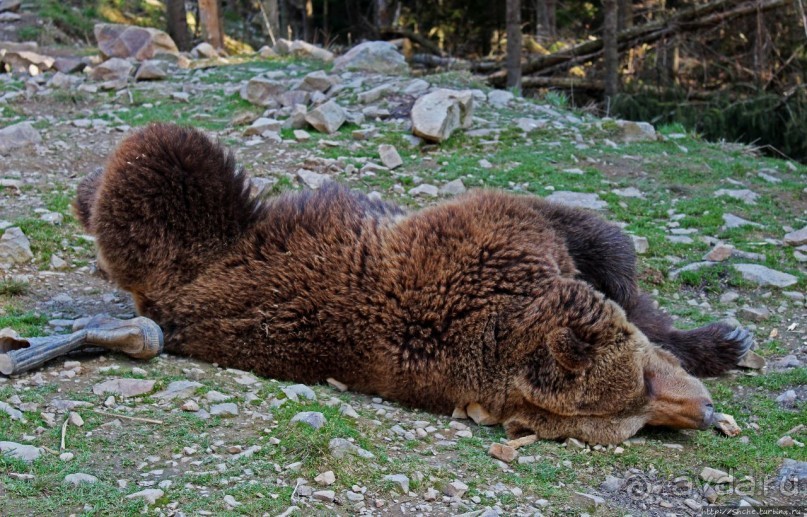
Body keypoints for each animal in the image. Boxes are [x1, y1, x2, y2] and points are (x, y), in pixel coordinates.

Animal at [72, 124, 756, 444]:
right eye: (638, 403)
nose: (704, 413)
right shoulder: (499, 235)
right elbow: (598, 240)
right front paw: (723, 340)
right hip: (197, 232)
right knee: (165, 158)